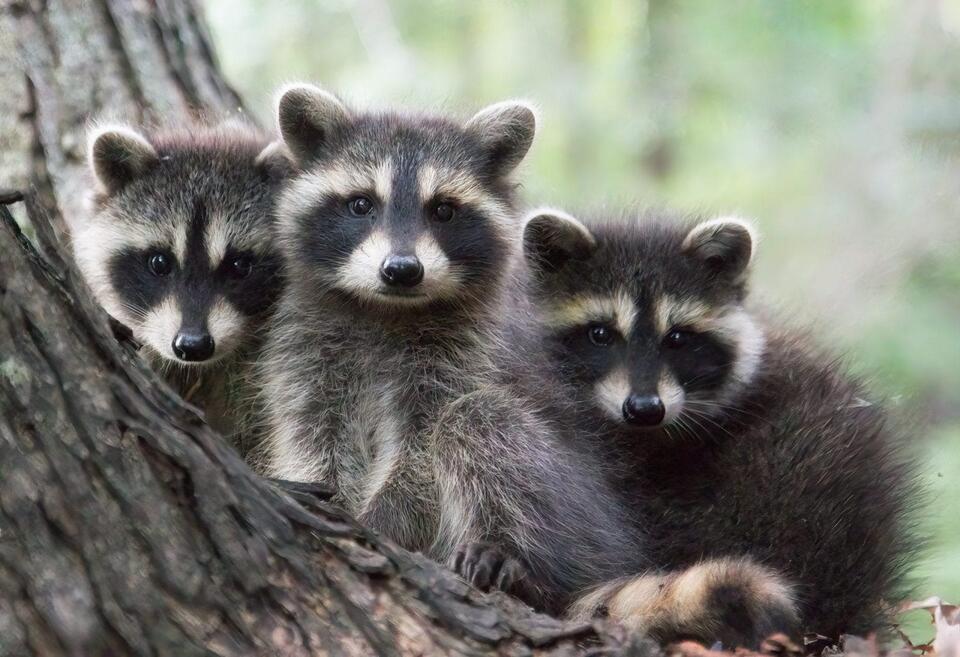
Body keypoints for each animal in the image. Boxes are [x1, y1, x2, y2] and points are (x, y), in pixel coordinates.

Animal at [258, 84, 647, 614]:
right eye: (361, 204)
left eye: (442, 209)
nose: (401, 270)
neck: (386, 311)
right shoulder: (306, 348)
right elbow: (314, 434)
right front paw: (329, 494)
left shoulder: (466, 351)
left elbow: (424, 447)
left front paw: (385, 519)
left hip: (583, 517)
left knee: (478, 423)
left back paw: (513, 558)